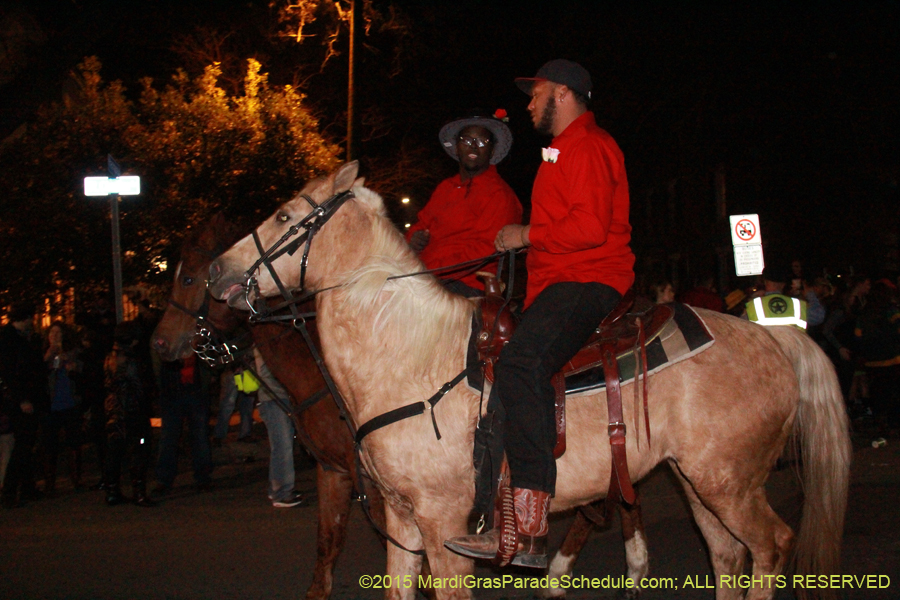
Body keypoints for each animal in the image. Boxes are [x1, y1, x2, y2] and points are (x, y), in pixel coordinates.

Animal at [156, 213, 652, 596]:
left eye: (189, 276)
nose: (159, 345)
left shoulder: (386, 490)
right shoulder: (336, 471)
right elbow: (328, 541)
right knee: (618, 497)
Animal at [209, 162, 852, 596]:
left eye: (285, 215)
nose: (217, 271)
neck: (409, 354)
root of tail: (777, 338)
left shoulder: (444, 527)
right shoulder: (400, 518)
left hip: (729, 484)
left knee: (770, 545)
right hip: (701, 482)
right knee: (727, 556)